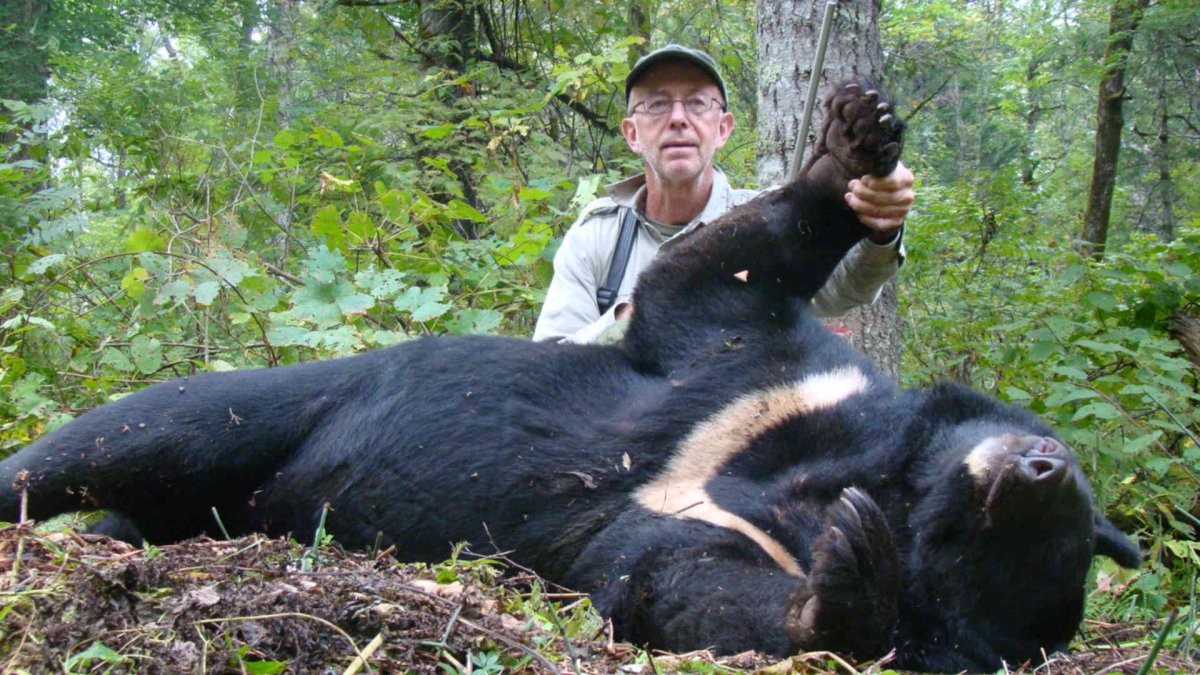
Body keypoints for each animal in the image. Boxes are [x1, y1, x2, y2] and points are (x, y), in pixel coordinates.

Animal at [0, 82, 1140, 673]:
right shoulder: (783, 377)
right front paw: (854, 145)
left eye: (1002, 552)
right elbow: (708, 283)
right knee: (137, 431)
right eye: (1069, 481)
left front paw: (844, 585)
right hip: (284, 407)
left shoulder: (718, 527)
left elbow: (672, 583)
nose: (1038, 467)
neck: (856, 475)